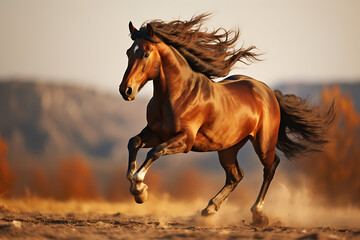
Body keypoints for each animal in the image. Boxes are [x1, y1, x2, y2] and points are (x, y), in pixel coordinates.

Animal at [119, 14, 334, 225]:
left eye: (146, 53)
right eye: (129, 52)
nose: (126, 90)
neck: (177, 95)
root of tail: (268, 92)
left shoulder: (185, 139)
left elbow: (155, 151)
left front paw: (140, 190)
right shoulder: (156, 132)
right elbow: (133, 142)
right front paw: (135, 188)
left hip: (263, 144)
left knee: (270, 167)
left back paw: (257, 214)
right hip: (228, 148)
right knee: (235, 176)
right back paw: (209, 209)